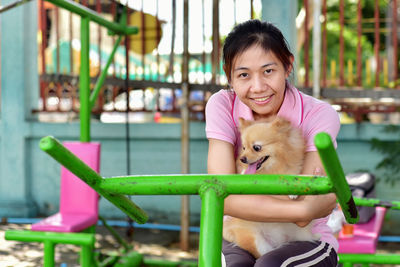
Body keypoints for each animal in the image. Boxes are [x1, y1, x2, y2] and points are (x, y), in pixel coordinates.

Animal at [223, 117, 320, 260]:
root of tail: (277, 240)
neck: (272, 169)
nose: (242, 159)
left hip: (300, 235)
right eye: (244, 147)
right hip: (256, 241)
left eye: (256, 148)